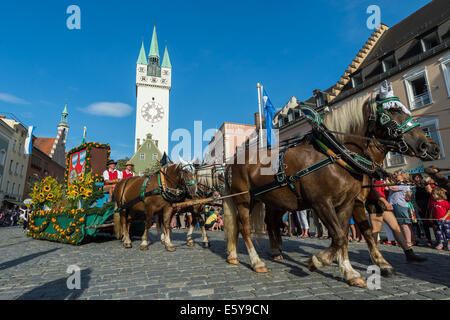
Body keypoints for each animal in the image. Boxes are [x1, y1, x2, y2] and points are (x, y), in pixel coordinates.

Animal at [225, 92, 440, 288]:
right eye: (393, 111)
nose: (429, 146)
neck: (336, 154)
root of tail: (233, 161)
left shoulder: (347, 203)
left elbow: (344, 235)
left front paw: (348, 270)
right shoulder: (323, 203)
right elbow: (341, 235)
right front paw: (320, 260)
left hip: (271, 201)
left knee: (263, 223)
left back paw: (248, 254)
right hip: (244, 199)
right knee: (244, 228)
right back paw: (256, 262)